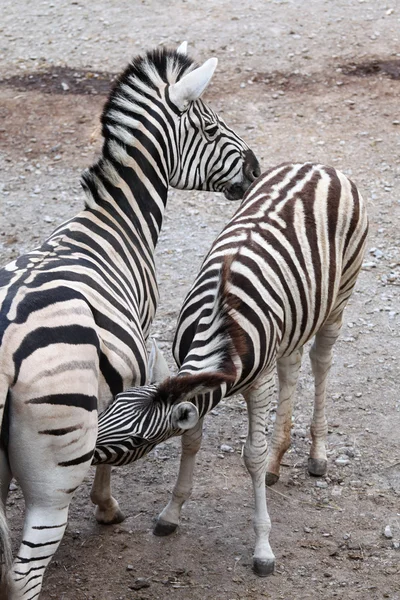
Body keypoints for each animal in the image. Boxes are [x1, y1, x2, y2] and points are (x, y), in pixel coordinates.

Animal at [0, 43, 260, 600]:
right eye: (209, 127)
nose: (255, 167)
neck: (115, 222)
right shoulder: (139, 345)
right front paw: (106, 507)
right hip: (53, 474)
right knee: (23, 573)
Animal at [94, 161, 368, 576]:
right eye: (108, 410)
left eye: (139, 441)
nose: (85, 451)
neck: (220, 326)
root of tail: (320, 166)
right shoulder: (190, 381)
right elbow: (191, 440)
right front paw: (172, 513)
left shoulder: (259, 384)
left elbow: (251, 456)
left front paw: (263, 547)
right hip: (297, 317)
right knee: (292, 364)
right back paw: (278, 459)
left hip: (340, 296)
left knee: (321, 361)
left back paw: (317, 453)